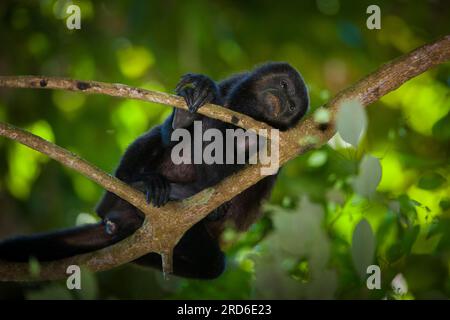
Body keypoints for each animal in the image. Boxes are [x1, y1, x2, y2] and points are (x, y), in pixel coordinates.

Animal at [0, 62, 310, 278]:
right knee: (153, 140)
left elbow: (228, 172)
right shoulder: (231, 83)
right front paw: (195, 104)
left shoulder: (273, 140)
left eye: (293, 106)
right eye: (284, 84)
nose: (284, 101)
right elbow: (173, 134)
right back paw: (136, 187)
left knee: (213, 263)